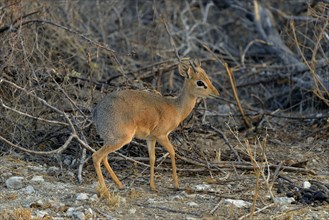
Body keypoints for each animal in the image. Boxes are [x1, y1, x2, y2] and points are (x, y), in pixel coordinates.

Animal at [92, 59, 219, 195]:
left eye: (207, 77)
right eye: (200, 82)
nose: (216, 93)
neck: (176, 108)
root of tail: (96, 111)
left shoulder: (151, 138)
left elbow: (152, 158)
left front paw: (152, 186)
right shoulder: (161, 135)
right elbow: (172, 152)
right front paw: (176, 185)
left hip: (111, 140)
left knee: (104, 157)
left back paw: (119, 184)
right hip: (121, 139)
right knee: (96, 156)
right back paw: (105, 191)